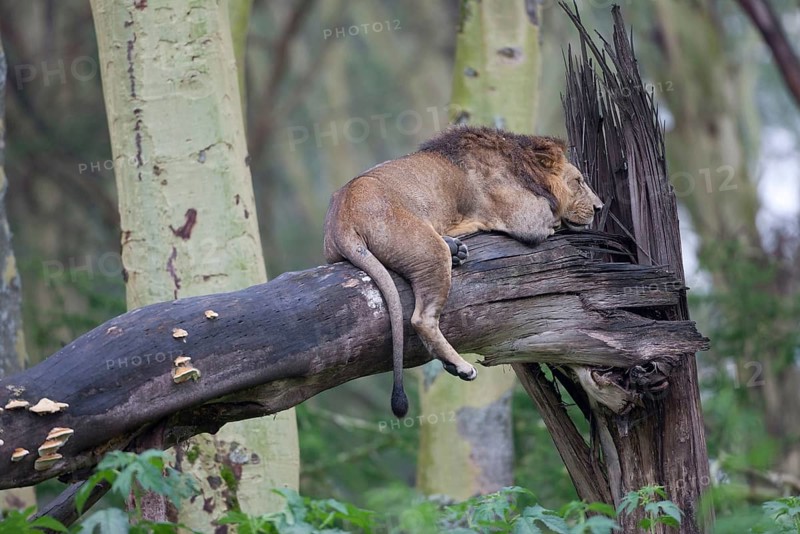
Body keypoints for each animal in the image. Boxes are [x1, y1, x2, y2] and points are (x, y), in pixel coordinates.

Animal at [324, 126, 602, 417]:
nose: (600, 208)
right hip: (429, 251)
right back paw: (460, 366)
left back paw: (455, 249)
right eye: (579, 181)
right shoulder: (527, 219)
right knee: (421, 319)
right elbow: (553, 221)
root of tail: (340, 218)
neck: (522, 167)